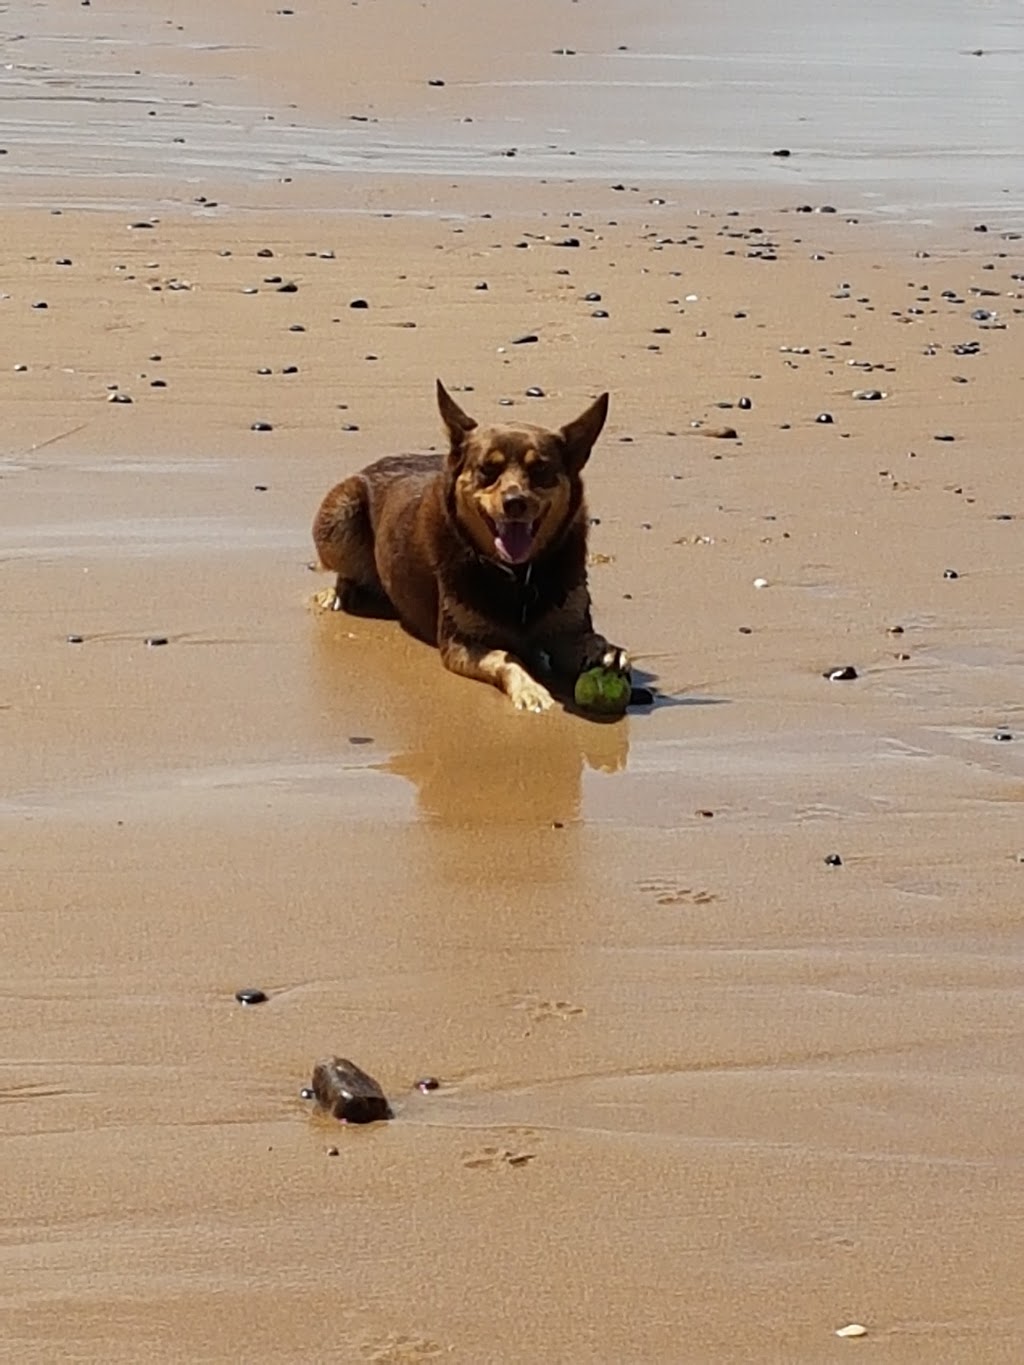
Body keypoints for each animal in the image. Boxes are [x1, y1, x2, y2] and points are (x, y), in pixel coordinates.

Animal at [311, 379, 633, 709]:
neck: (518, 577)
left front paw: (606, 652)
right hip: (341, 512)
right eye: (487, 469)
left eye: (540, 470)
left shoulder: (567, 630)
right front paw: (530, 691)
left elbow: (588, 641)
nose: (515, 502)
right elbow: (507, 657)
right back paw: (338, 593)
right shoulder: (461, 643)